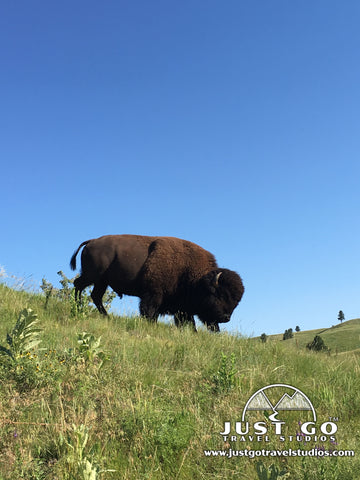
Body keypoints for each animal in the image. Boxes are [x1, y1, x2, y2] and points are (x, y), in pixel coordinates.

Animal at [69, 234, 245, 332]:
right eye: (219, 295)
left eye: (236, 301)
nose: (226, 318)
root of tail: (91, 241)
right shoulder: (153, 295)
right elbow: (149, 312)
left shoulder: (182, 308)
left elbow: (189, 322)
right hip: (93, 276)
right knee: (78, 285)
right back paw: (78, 308)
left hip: (101, 281)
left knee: (95, 296)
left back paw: (106, 316)